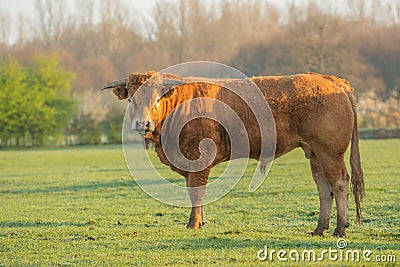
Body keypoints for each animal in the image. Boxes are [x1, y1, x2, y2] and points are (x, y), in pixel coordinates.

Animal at [101, 71, 364, 237]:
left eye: (156, 99)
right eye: (131, 100)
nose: (141, 124)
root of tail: (330, 80)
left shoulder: (199, 159)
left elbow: (196, 191)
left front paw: (193, 223)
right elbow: (194, 191)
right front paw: (201, 221)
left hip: (329, 152)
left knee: (339, 184)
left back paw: (340, 228)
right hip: (315, 154)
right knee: (324, 188)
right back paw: (319, 228)